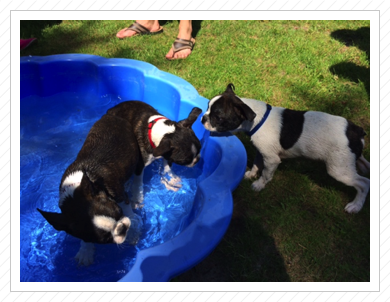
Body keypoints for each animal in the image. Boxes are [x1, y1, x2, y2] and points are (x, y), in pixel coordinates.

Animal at [37, 112, 140, 264]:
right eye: (105, 239)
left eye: (118, 211)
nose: (122, 228)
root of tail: (112, 115)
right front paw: (86, 251)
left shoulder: (121, 196)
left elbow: (129, 213)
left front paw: (133, 232)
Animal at [203, 84, 370, 214]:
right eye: (207, 108)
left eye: (217, 117)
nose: (203, 118)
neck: (256, 120)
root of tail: (356, 131)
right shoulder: (261, 152)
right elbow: (257, 164)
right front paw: (250, 174)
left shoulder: (272, 159)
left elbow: (266, 173)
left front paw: (259, 185)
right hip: (351, 159)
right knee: (364, 166)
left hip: (339, 169)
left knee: (363, 183)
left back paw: (355, 206)